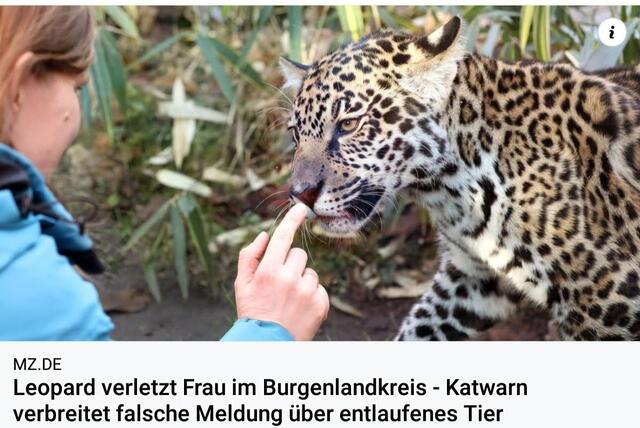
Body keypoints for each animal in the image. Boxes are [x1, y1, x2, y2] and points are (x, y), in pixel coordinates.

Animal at [279, 16, 640, 340]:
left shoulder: (605, 305)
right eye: (295, 134)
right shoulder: (473, 281)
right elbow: (416, 330)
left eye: (349, 125)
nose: (301, 193)